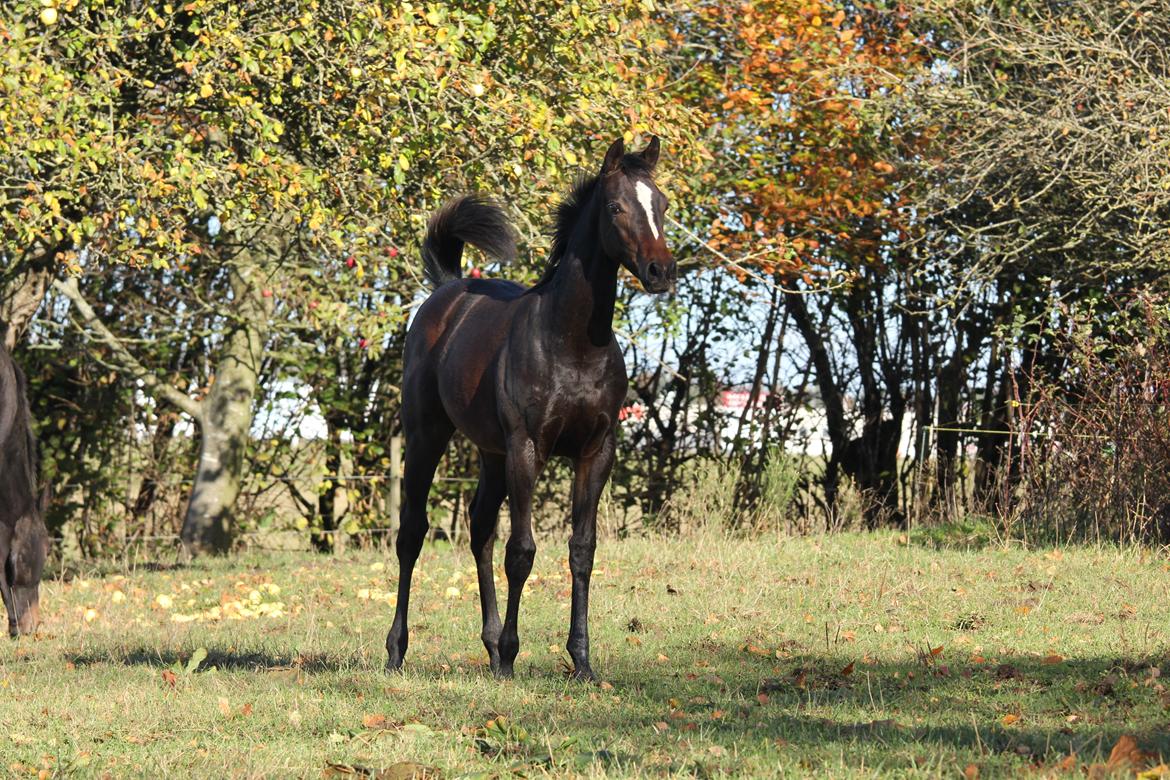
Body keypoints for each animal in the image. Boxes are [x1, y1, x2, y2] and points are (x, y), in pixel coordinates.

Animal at [386, 137, 678, 678]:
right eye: (615, 207)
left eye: (663, 205)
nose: (661, 272)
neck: (572, 342)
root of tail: (446, 291)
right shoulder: (527, 448)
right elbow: (521, 551)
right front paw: (510, 655)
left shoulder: (596, 452)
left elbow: (582, 550)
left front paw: (581, 661)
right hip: (426, 436)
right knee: (412, 533)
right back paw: (398, 650)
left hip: (491, 454)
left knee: (479, 530)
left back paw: (486, 644)